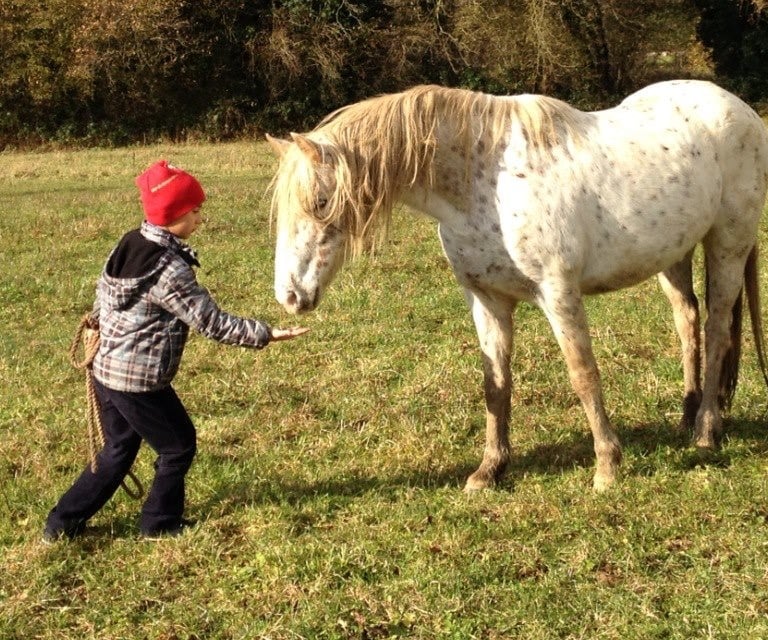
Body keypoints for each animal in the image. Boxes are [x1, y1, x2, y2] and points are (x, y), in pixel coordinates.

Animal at [266, 80, 768, 492]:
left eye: (321, 202)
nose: (289, 296)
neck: (486, 183)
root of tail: (740, 108)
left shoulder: (558, 294)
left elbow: (583, 374)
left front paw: (607, 467)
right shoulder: (487, 300)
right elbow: (495, 384)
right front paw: (489, 470)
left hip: (727, 244)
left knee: (719, 329)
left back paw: (706, 430)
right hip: (674, 255)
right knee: (688, 320)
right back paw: (688, 413)